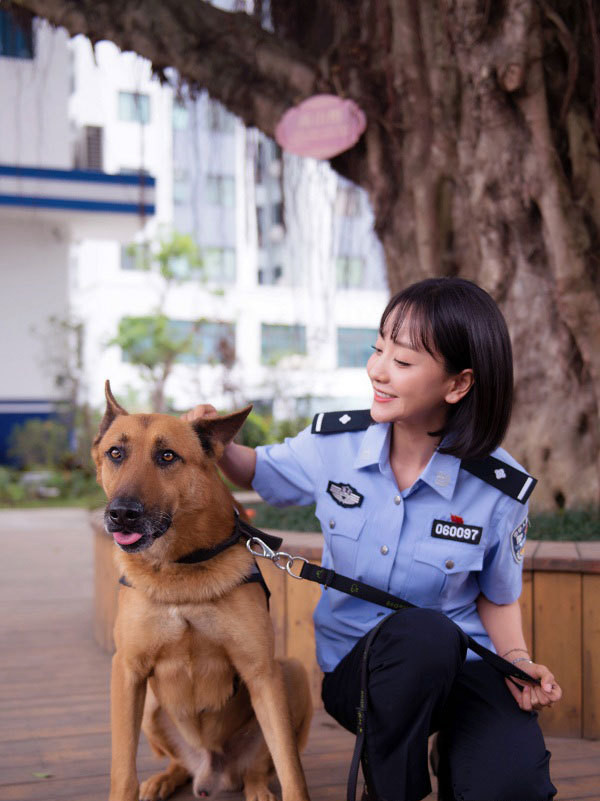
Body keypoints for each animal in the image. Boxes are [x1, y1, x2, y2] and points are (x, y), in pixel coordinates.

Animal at [92, 382, 314, 800]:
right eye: (116, 453)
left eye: (167, 456)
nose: (122, 514)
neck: (180, 569)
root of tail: (212, 771)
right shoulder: (127, 671)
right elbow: (122, 770)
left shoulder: (262, 672)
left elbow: (291, 769)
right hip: (150, 708)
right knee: (178, 763)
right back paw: (163, 780)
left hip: (291, 673)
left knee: (261, 766)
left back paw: (257, 788)